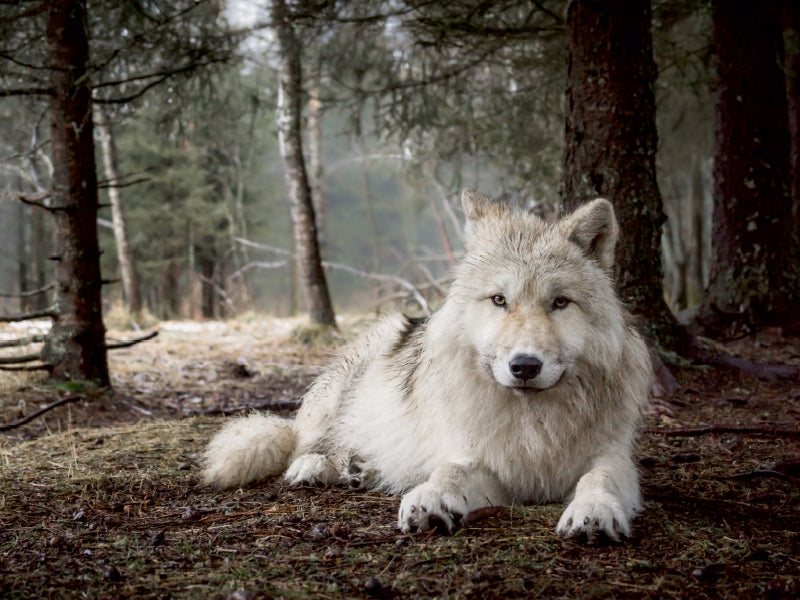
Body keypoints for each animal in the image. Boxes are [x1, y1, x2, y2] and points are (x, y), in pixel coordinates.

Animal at [203, 189, 652, 541]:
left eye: (560, 302)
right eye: (499, 300)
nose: (524, 366)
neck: (532, 422)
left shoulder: (612, 456)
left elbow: (599, 478)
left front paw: (594, 511)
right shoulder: (475, 457)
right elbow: (447, 472)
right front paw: (430, 498)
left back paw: (360, 469)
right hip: (338, 395)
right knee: (301, 441)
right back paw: (317, 467)